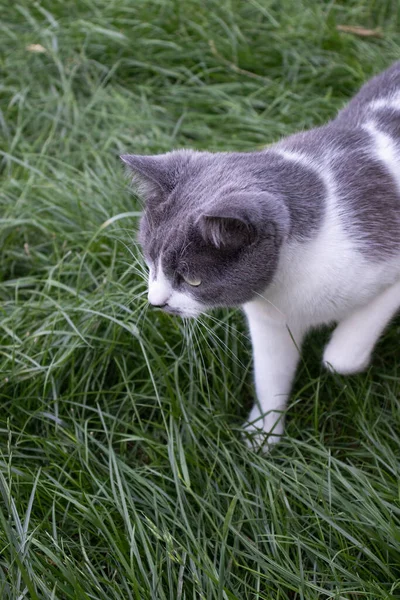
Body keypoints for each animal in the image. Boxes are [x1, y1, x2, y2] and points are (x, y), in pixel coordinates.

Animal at [120, 62, 400, 450]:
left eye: (193, 279)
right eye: (150, 262)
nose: (156, 302)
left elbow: (342, 355)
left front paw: (341, 355)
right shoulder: (271, 320)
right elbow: (270, 374)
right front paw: (262, 436)